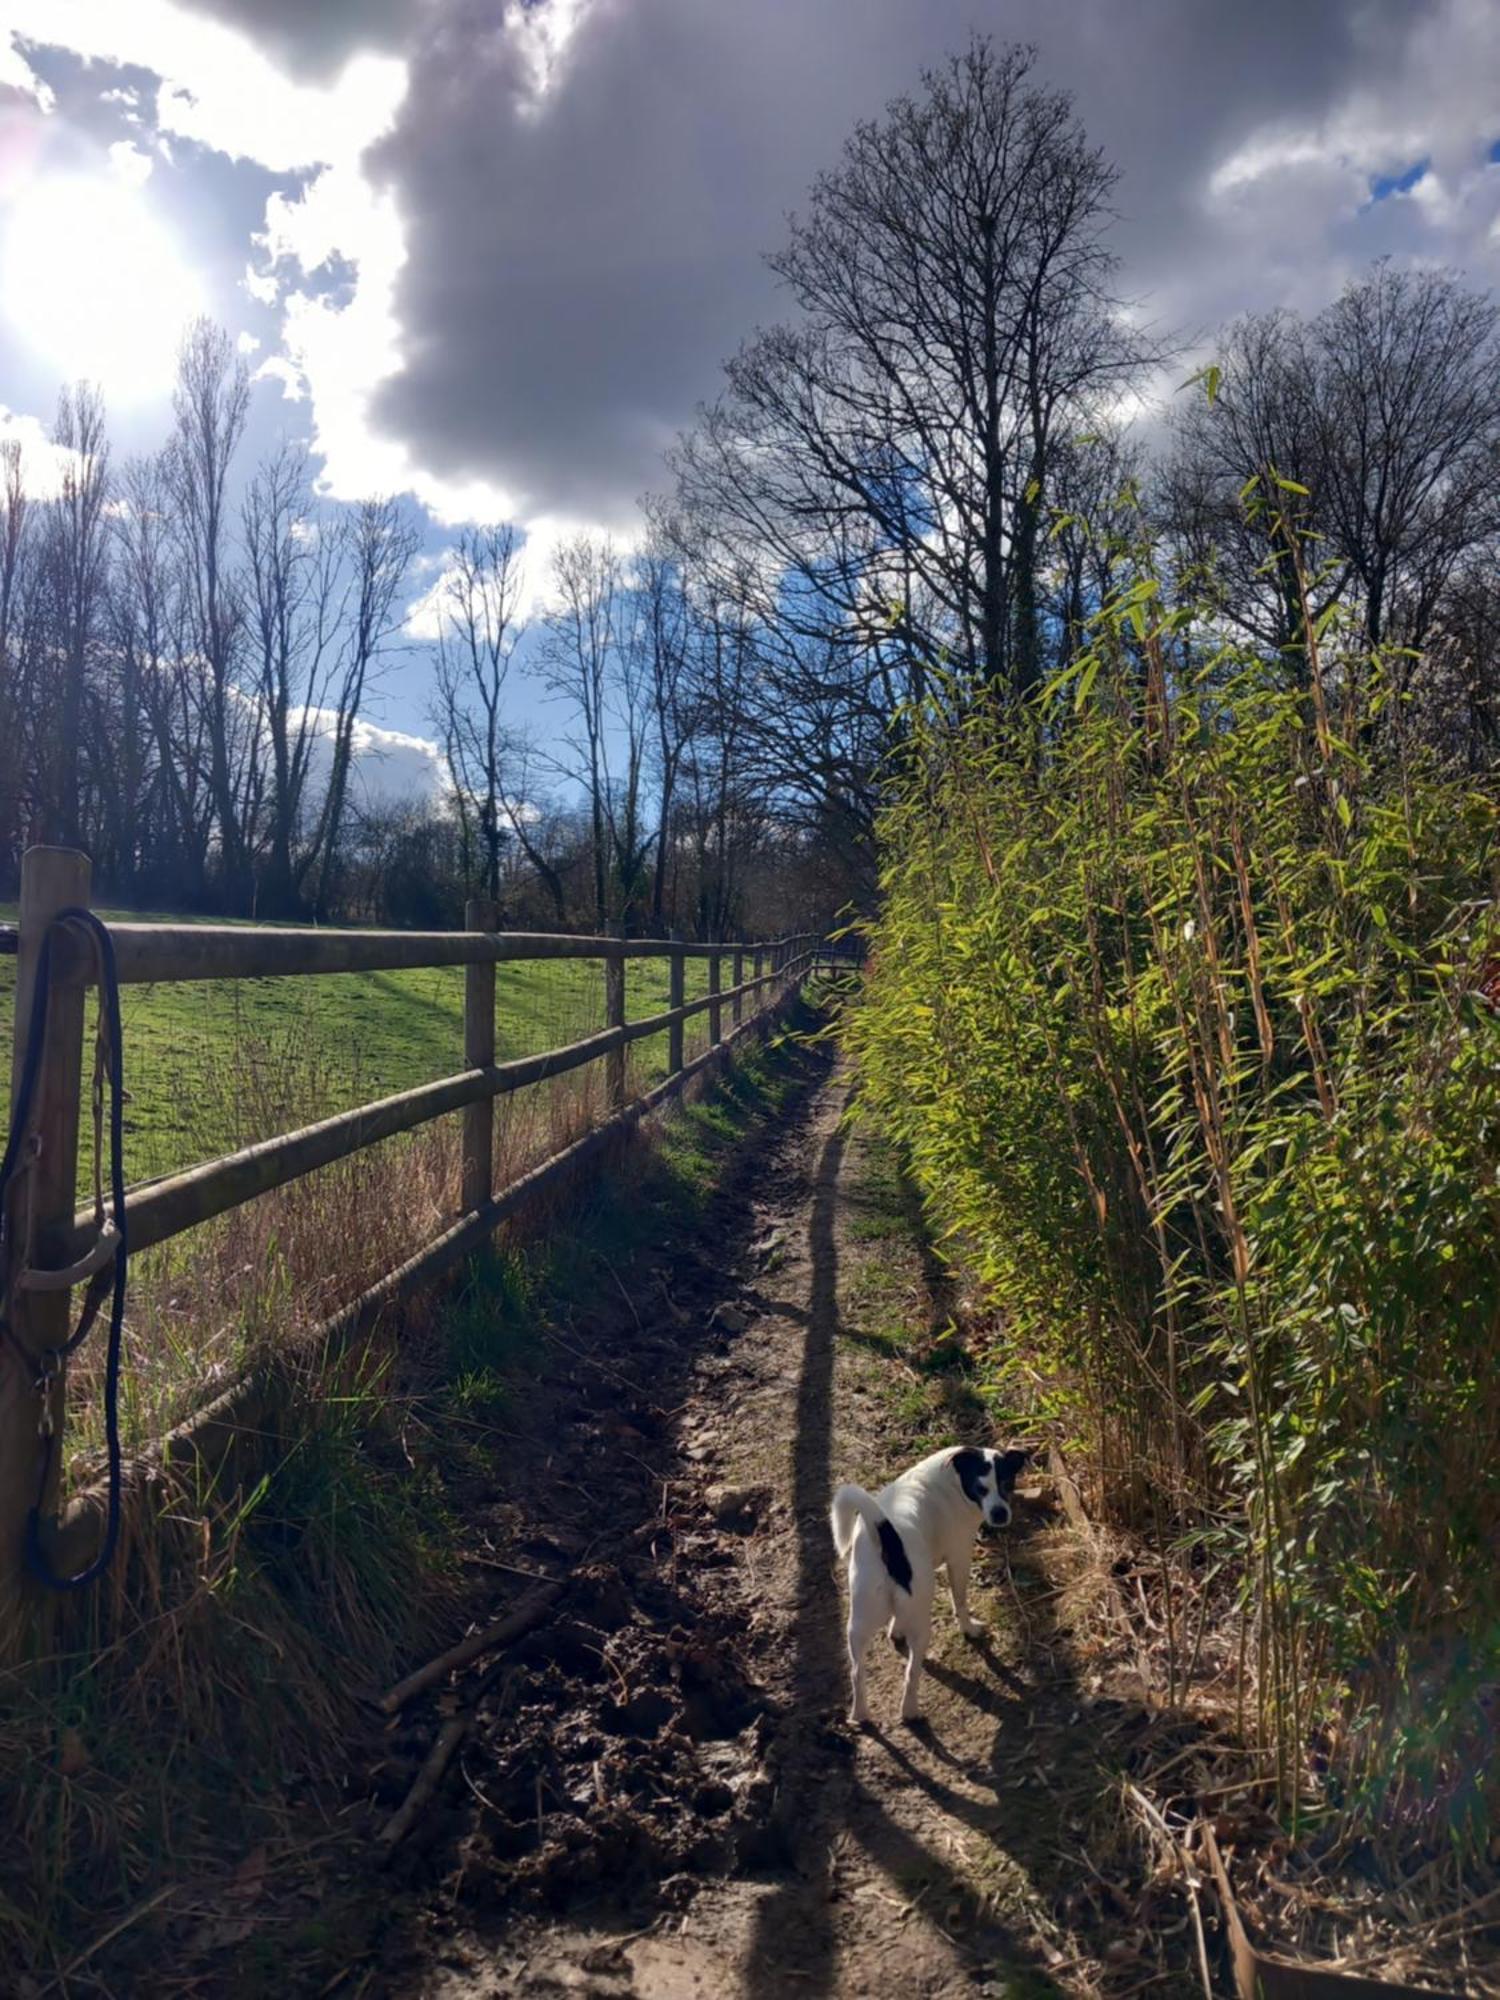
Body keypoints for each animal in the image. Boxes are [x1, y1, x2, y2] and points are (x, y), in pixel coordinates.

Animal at [836, 1448, 1032, 1728]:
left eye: (1007, 1483)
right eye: (980, 1489)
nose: (999, 1514)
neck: (954, 1480)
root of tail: (887, 1536)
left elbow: (898, 1620)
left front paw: (895, 1630)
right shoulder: (959, 1557)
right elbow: (959, 1600)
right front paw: (969, 1628)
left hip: (859, 1622)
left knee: (856, 1672)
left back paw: (860, 1714)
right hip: (920, 1627)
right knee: (911, 1673)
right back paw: (910, 1711)